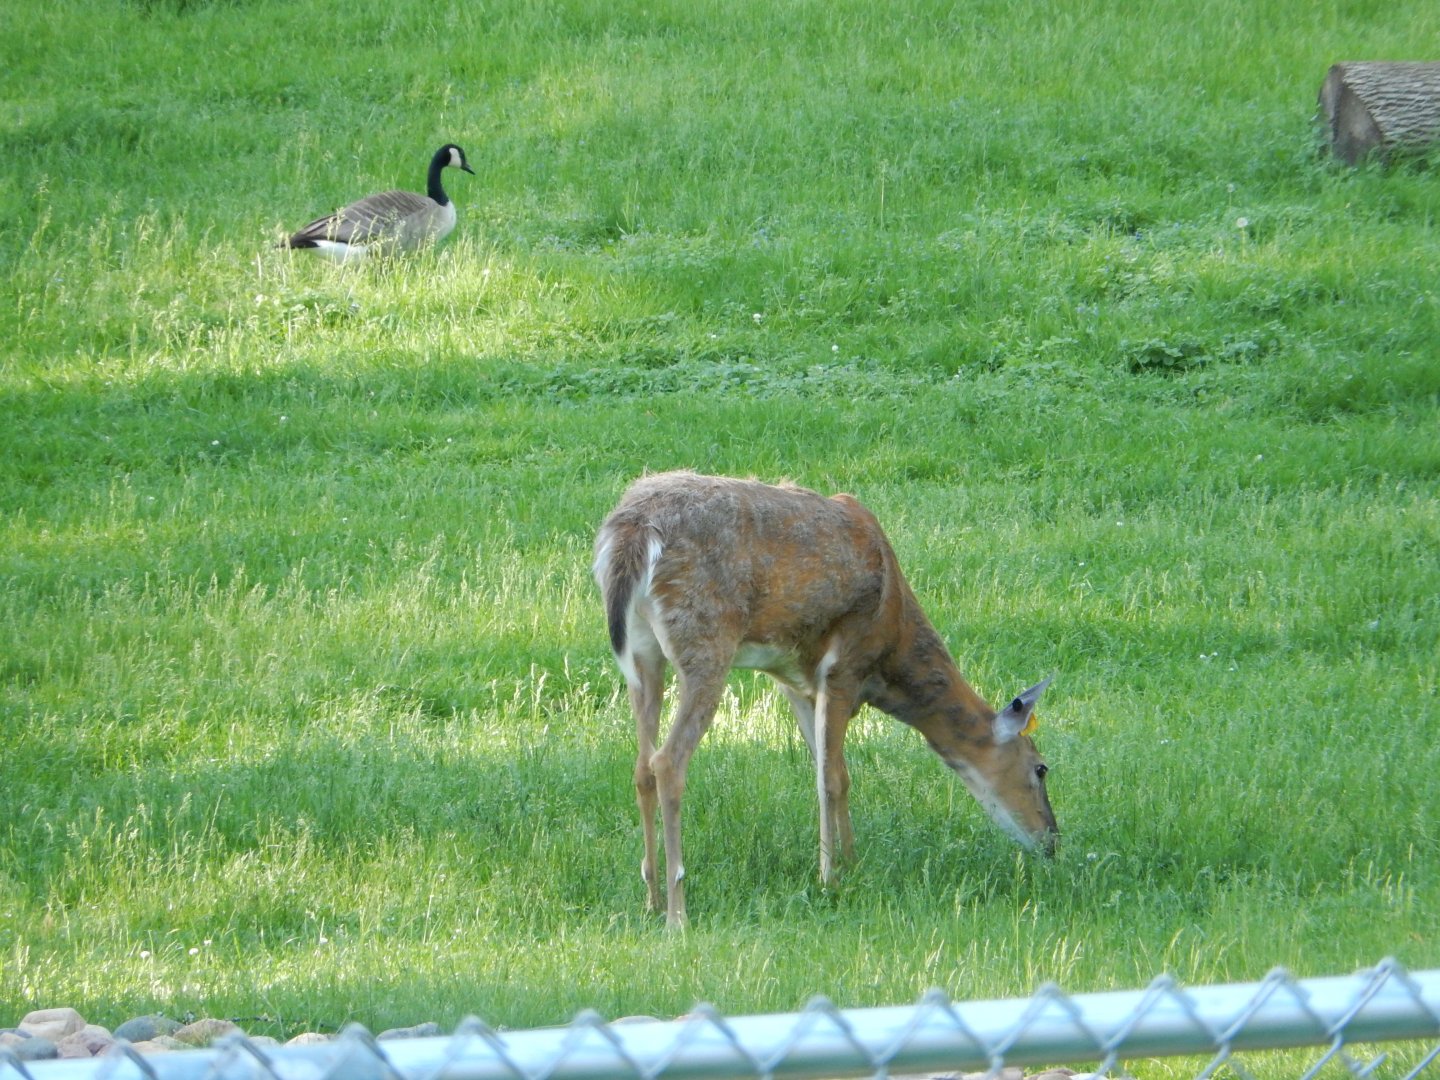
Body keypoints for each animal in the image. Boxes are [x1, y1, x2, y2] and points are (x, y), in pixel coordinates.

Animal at [592, 471, 1059, 928]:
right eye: (1041, 768)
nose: (1052, 841)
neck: (892, 650)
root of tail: (630, 532)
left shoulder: (796, 681)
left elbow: (829, 769)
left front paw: (850, 863)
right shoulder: (844, 666)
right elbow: (832, 778)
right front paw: (830, 877)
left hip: (642, 655)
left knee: (641, 765)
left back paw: (651, 899)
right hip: (704, 640)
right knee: (668, 761)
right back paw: (678, 913)